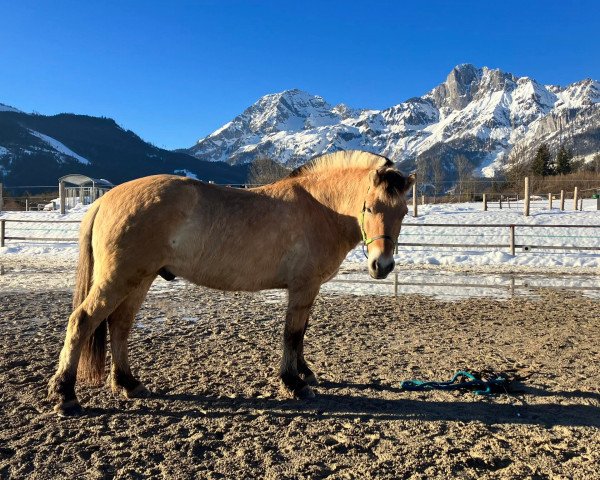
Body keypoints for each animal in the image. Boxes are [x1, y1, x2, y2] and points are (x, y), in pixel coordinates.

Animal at [47, 151, 414, 416]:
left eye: (403, 212)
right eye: (370, 207)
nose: (382, 266)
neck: (320, 207)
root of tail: (102, 200)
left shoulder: (310, 290)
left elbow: (301, 333)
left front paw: (305, 373)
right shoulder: (303, 287)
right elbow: (292, 334)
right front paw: (293, 383)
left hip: (139, 279)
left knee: (119, 325)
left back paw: (128, 383)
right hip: (119, 279)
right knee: (82, 321)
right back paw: (65, 395)